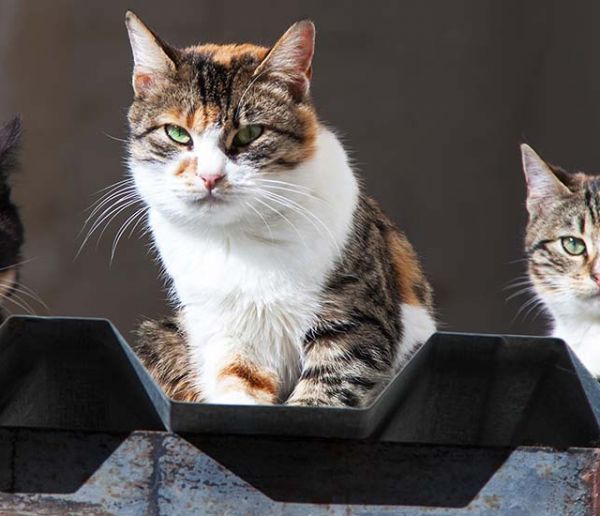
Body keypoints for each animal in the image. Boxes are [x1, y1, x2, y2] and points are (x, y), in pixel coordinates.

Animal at [126, 12, 436, 406]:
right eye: (177, 133)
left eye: (250, 134)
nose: (210, 176)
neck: (239, 241)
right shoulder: (226, 334)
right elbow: (238, 385)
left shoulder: (355, 323)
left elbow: (323, 393)